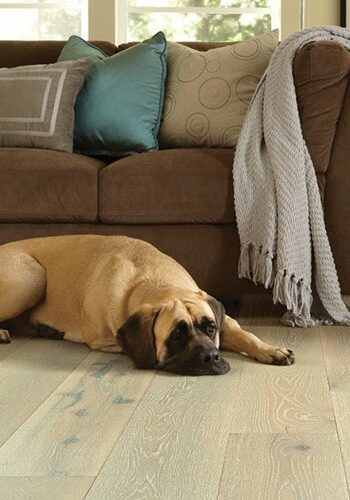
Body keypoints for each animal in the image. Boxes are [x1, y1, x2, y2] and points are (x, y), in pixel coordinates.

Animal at [0, 235, 296, 376]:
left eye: (210, 327)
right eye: (176, 335)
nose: (211, 357)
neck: (157, 282)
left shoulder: (224, 319)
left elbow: (246, 334)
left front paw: (271, 350)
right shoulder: (104, 339)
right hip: (32, 276)